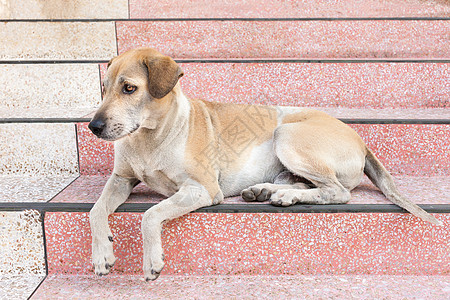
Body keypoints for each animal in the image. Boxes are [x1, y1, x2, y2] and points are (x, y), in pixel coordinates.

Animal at [88, 47, 442, 282]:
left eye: (129, 88)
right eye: (104, 88)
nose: (94, 126)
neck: (149, 137)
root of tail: (361, 141)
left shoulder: (202, 189)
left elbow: (150, 214)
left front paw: (152, 259)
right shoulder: (120, 179)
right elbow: (96, 210)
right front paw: (102, 253)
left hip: (286, 134)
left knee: (338, 192)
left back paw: (283, 194)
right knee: (306, 185)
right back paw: (270, 192)